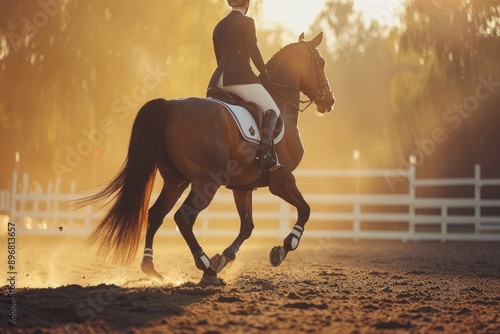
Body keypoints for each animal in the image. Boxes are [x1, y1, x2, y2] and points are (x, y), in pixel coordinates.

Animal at [82, 32, 336, 284]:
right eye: (322, 63)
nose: (330, 101)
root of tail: (169, 106)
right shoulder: (282, 180)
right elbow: (305, 210)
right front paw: (283, 248)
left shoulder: (243, 188)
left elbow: (247, 226)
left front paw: (224, 257)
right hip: (207, 182)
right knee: (183, 218)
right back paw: (206, 269)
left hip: (176, 181)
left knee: (156, 214)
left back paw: (151, 267)